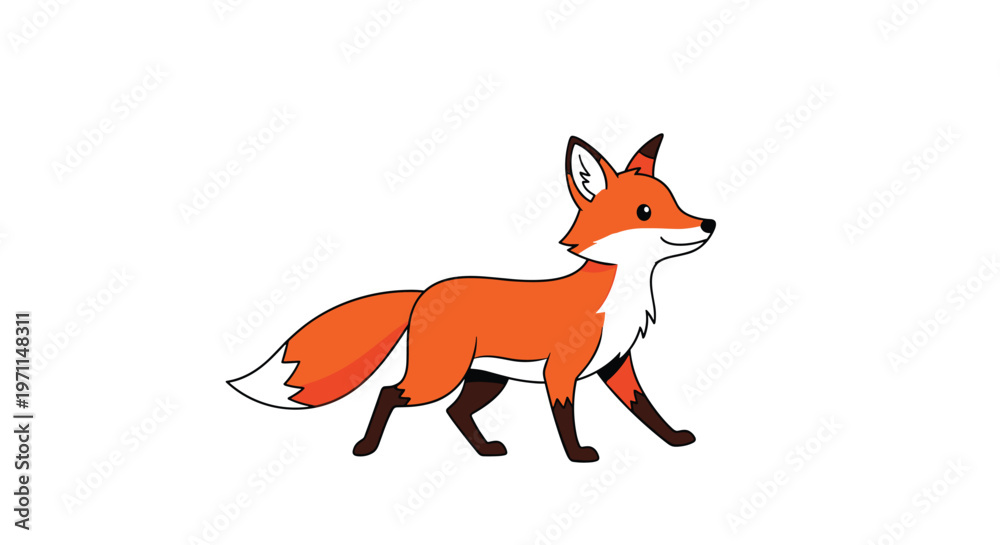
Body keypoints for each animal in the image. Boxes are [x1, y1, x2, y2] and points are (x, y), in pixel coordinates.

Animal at [229, 134, 715, 462]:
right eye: (645, 212)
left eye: (676, 202)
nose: (709, 223)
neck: (619, 297)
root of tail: (424, 293)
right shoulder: (561, 372)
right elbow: (566, 418)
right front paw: (578, 455)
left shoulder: (617, 367)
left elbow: (647, 410)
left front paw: (674, 439)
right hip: (438, 377)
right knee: (390, 393)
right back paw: (365, 447)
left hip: (485, 380)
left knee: (455, 412)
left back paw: (485, 450)